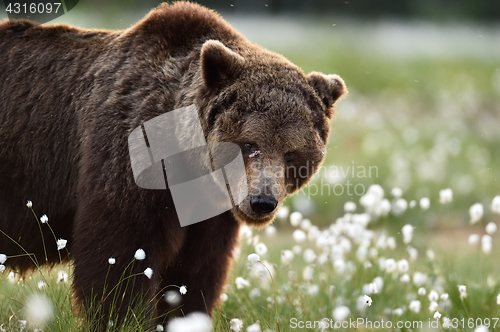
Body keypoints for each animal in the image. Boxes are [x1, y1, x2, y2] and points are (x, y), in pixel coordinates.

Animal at [0, 1, 348, 330]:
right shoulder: (129, 159)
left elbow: (195, 273)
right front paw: (122, 319)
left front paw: (182, 318)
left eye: (292, 153)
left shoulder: (210, 212)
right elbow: (119, 260)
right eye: (250, 144)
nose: (262, 201)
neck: (187, 166)